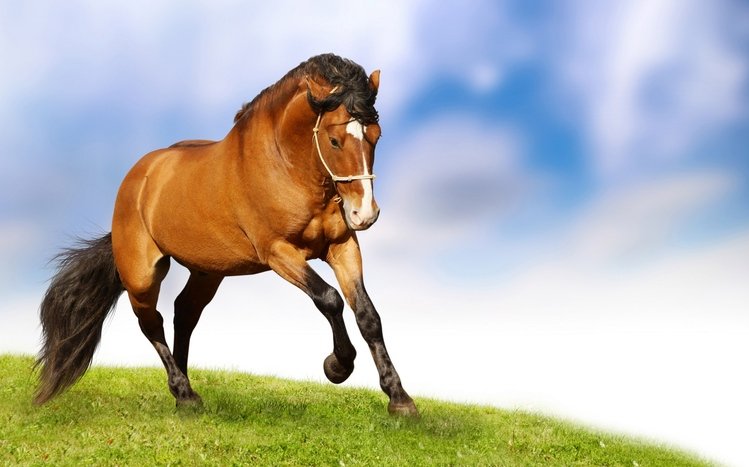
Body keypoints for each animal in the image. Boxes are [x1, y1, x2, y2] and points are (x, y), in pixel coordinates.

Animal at [34, 53, 418, 417]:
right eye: (335, 140)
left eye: (376, 136)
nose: (364, 214)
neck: (286, 166)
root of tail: (138, 177)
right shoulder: (279, 252)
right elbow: (329, 299)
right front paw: (337, 366)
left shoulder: (342, 246)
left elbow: (368, 315)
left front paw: (400, 400)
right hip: (142, 275)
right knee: (151, 323)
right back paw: (185, 394)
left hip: (207, 271)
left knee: (184, 314)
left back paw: (183, 393)